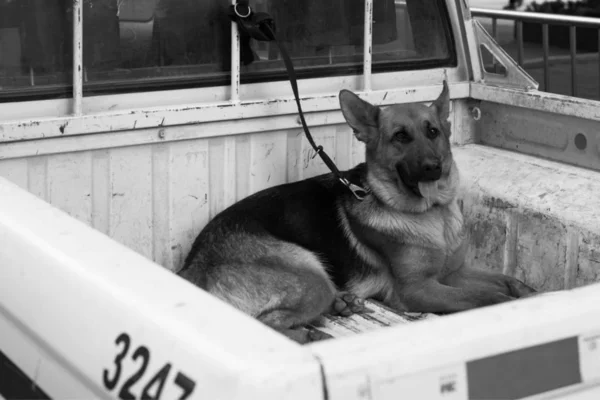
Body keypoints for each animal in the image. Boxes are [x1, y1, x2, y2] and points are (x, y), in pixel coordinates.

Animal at [177, 82, 536, 344]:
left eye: (432, 131)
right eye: (400, 136)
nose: (433, 168)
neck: (432, 216)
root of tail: (193, 261)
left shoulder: (452, 274)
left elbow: (506, 280)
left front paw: (528, 293)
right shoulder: (418, 290)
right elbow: (484, 297)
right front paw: (510, 303)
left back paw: (342, 304)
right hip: (311, 276)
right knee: (267, 325)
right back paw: (313, 336)